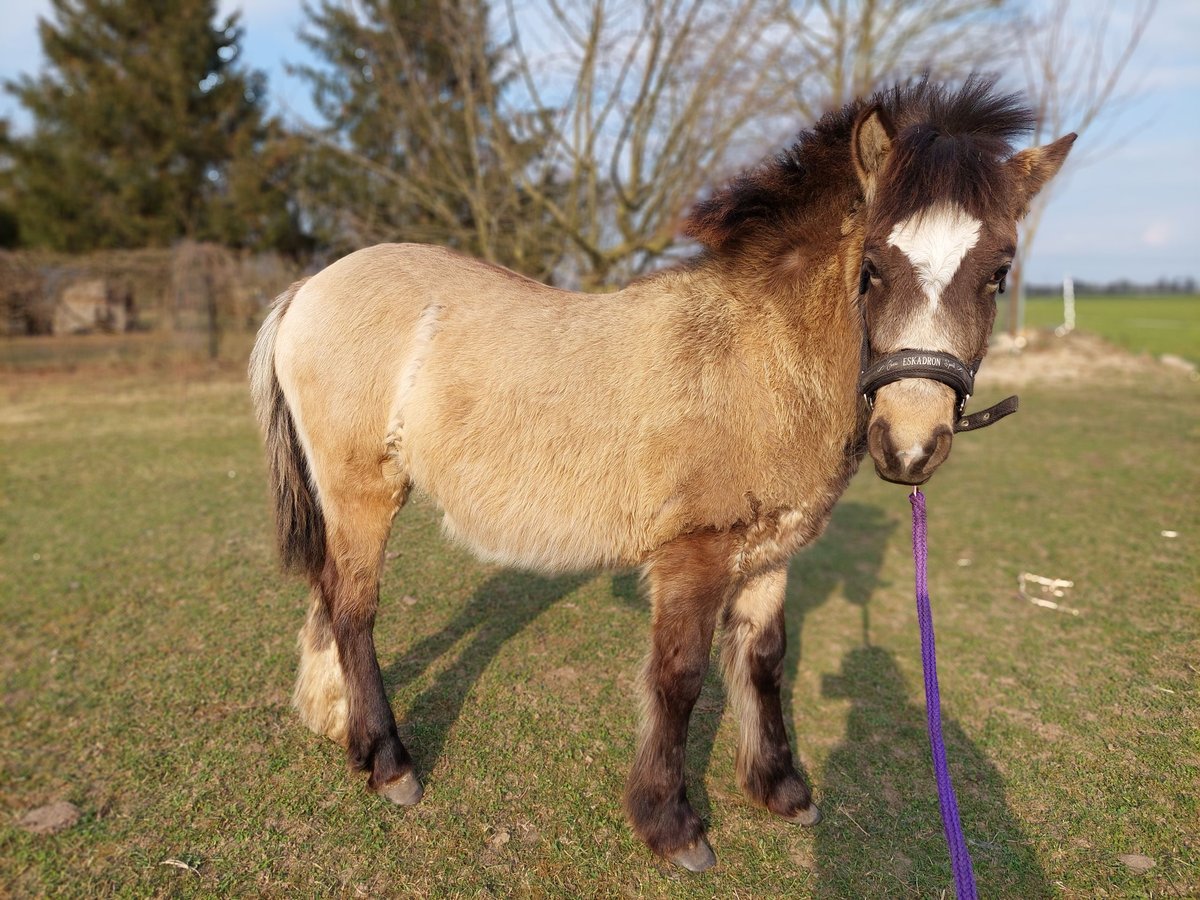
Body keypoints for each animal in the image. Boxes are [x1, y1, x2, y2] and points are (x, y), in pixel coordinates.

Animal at [248, 77, 1075, 873]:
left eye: (999, 273)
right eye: (873, 268)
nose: (909, 444)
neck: (756, 358)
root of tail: (307, 291)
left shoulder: (769, 553)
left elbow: (763, 661)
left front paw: (779, 788)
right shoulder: (693, 556)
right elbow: (678, 677)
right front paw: (671, 825)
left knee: (330, 594)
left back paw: (332, 721)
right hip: (364, 493)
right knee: (355, 608)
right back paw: (388, 762)